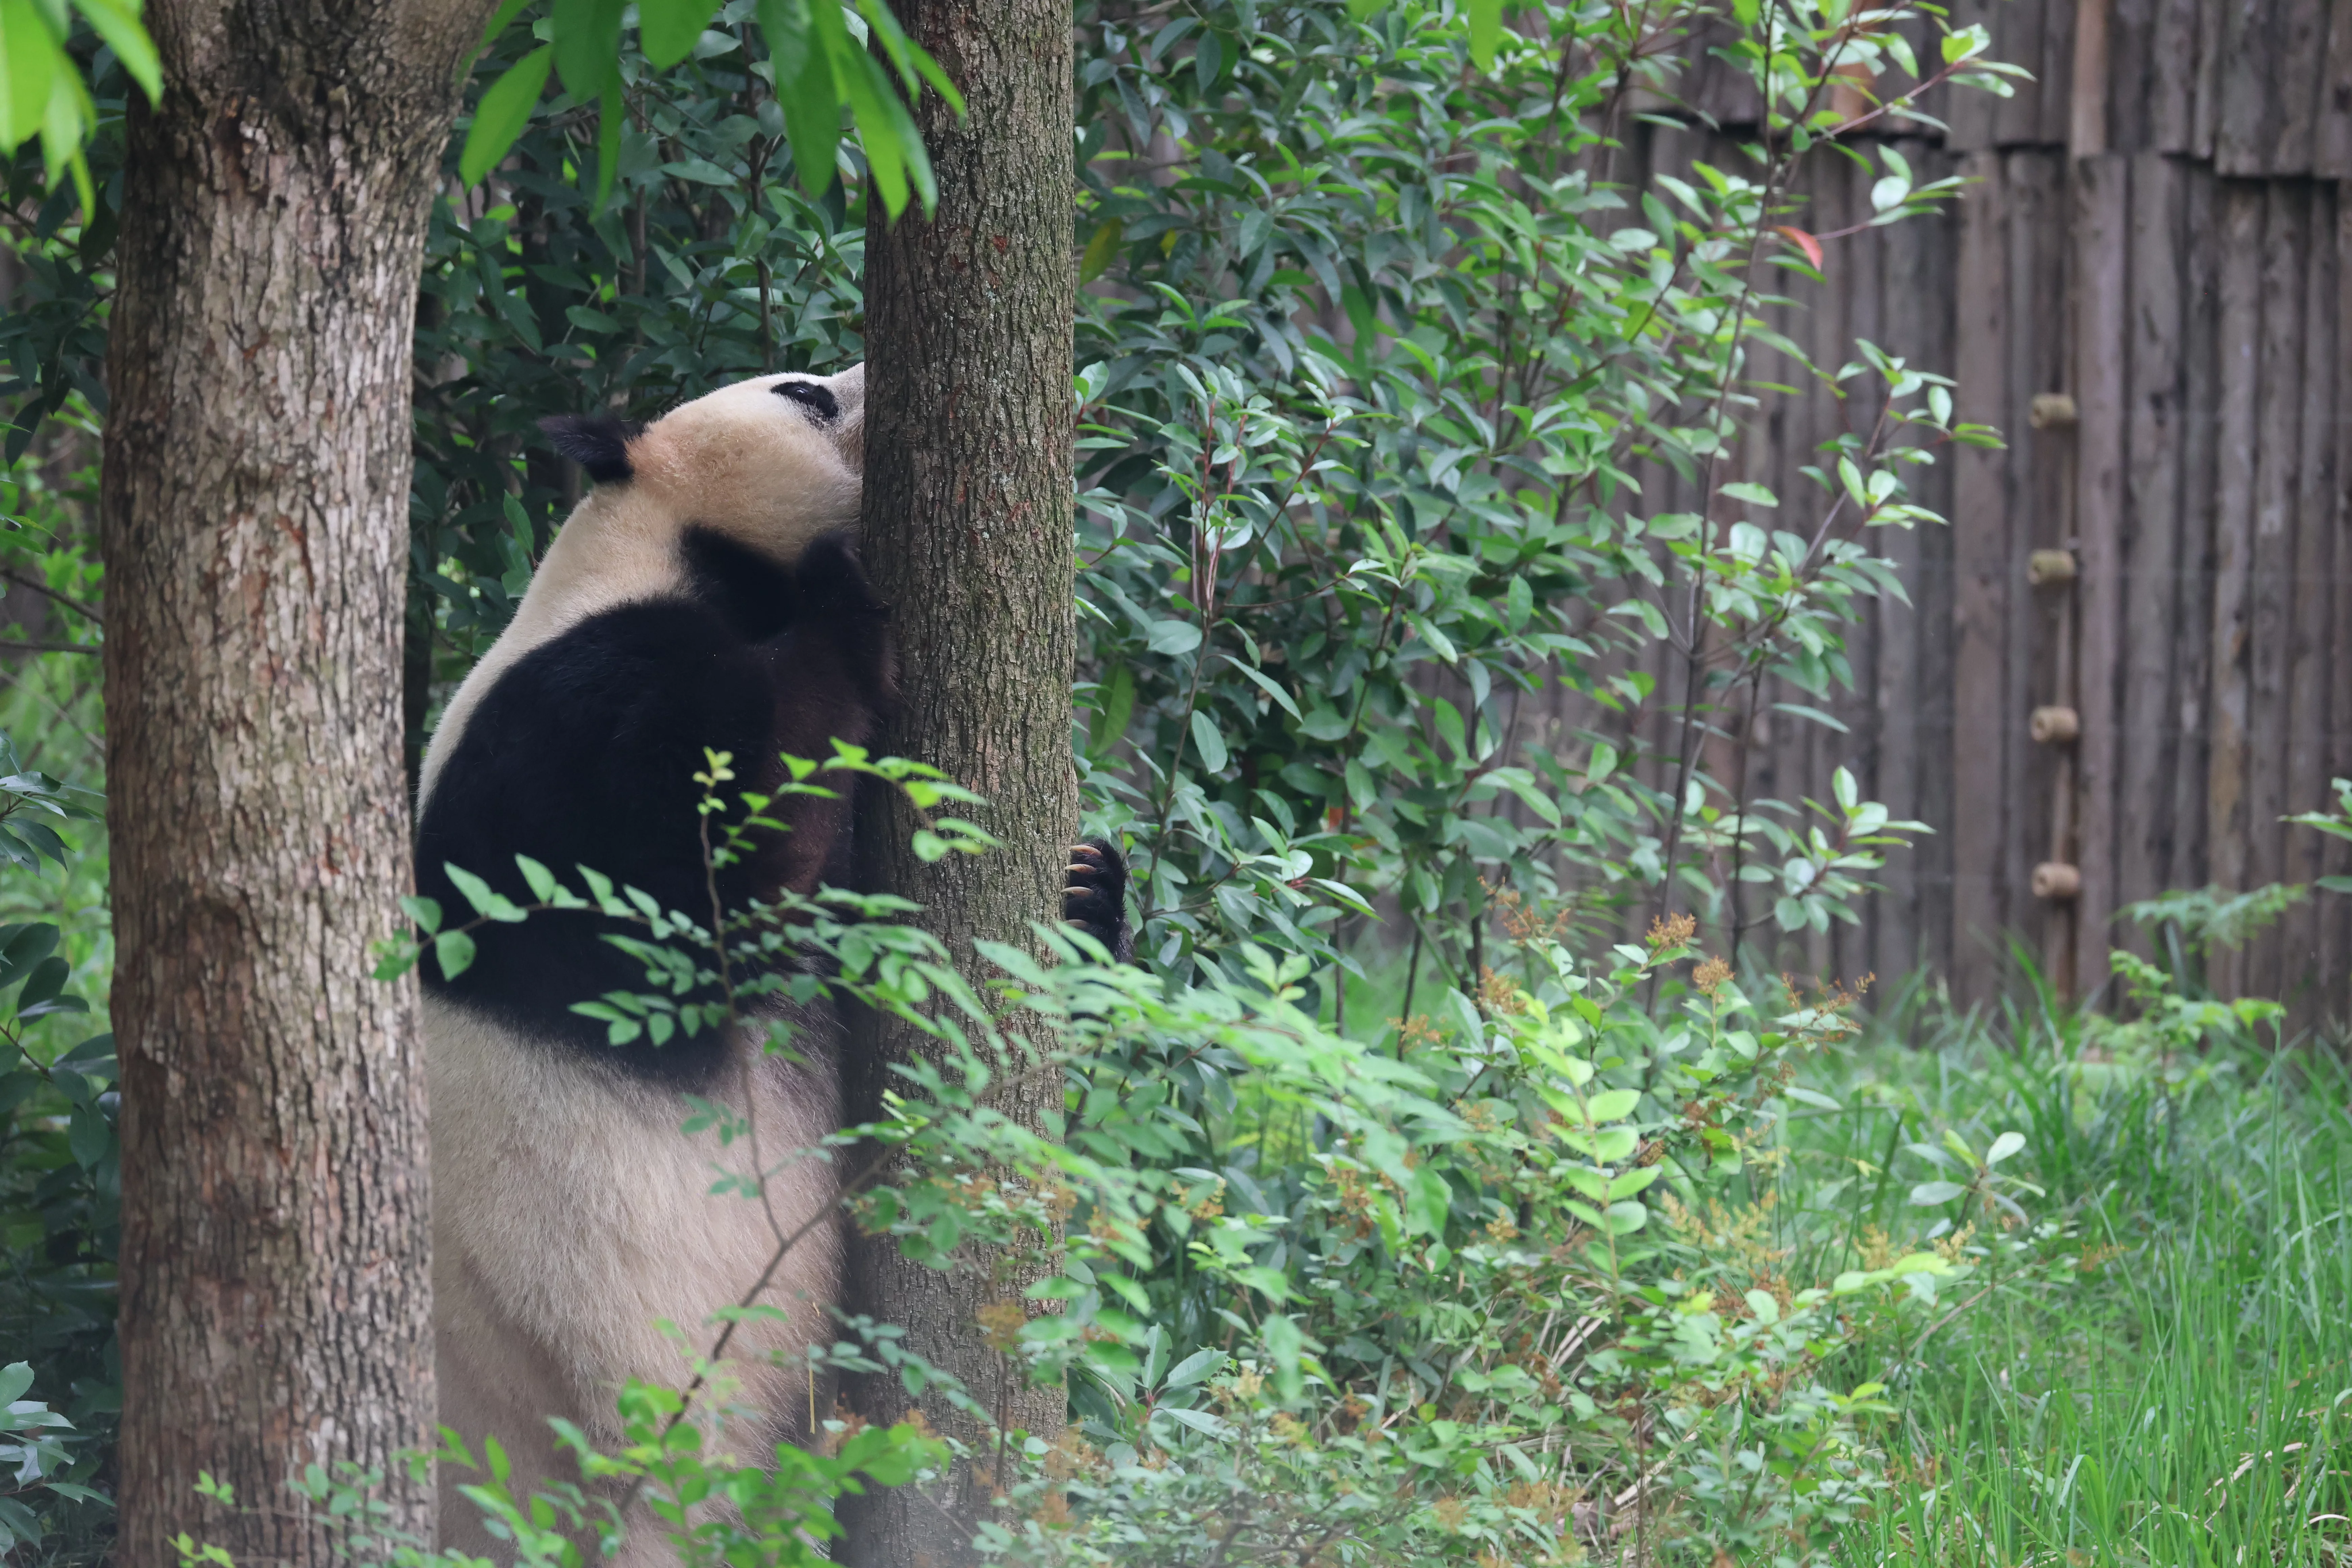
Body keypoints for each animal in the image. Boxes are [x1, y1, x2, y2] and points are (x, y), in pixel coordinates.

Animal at [412, 364, 1129, 1558]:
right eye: (804, 393)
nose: (863, 378)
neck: (673, 555)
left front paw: (1085, 890)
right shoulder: (564, 733)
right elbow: (709, 869)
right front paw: (842, 604)